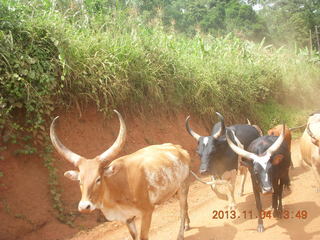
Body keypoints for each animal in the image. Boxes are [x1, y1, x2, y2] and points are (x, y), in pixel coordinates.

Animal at [48, 109, 191, 239]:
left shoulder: (147, 211)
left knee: (182, 209)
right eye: (79, 181)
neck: (116, 189)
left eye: (98, 179)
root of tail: (179, 148)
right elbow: (134, 236)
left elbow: (143, 237)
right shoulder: (128, 219)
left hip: (183, 186)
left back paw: (180, 234)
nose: (84, 206)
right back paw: (187, 225)